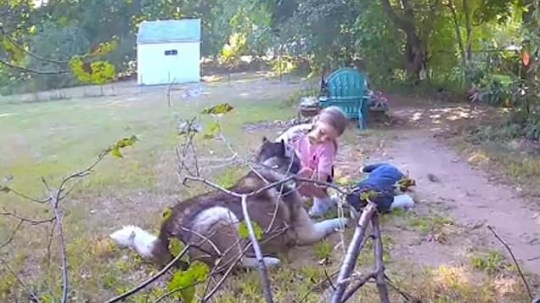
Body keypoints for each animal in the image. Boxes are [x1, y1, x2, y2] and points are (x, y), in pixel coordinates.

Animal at [109, 137, 348, 272]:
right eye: (297, 156)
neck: (271, 168)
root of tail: (164, 239)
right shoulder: (307, 233)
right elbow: (330, 223)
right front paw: (343, 218)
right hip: (222, 217)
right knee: (229, 264)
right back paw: (267, 262)